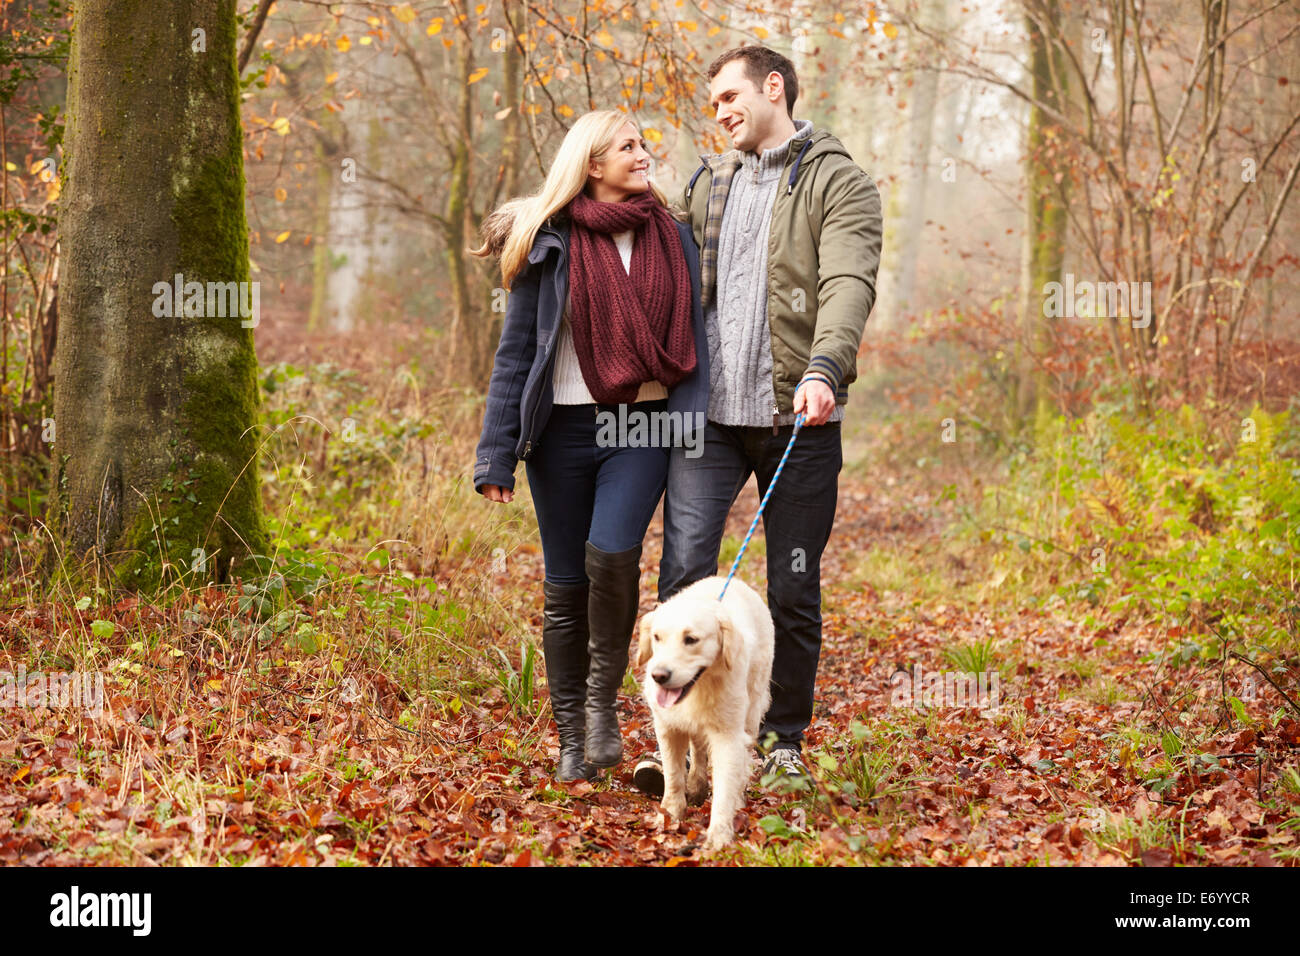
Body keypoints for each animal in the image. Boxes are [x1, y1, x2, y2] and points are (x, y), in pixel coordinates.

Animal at [637, 574, 769, 853]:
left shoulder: (728, 736)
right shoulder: (668, 727)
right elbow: (674, 775)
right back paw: (696, 786)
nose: (659, 676)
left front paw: (718, 835)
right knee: (697, 750)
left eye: (691, 639)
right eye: (657, 637)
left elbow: (725, 786)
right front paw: (670, 815)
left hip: (751, 713)